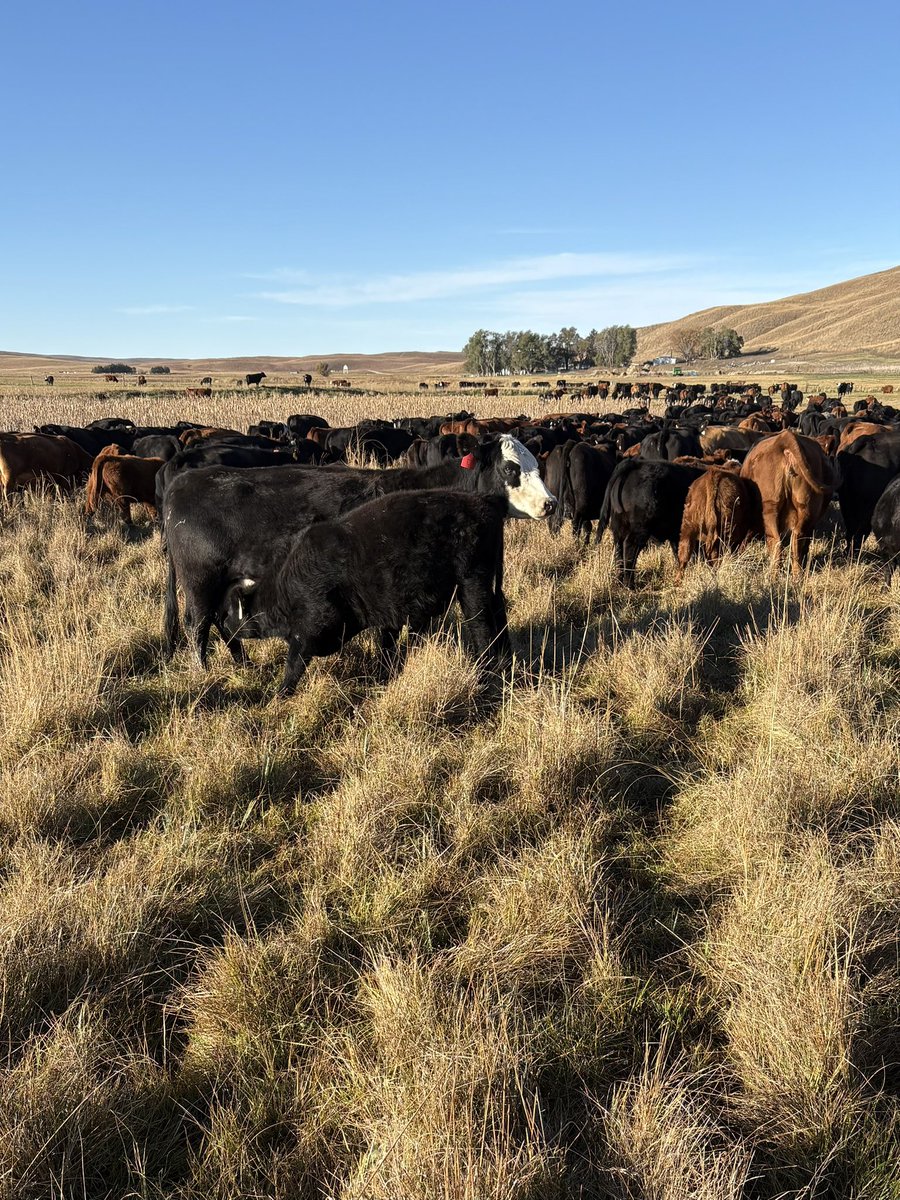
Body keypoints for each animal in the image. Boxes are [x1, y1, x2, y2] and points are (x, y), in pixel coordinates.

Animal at [162, 434, 555, 665]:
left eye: (537, 465)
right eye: (511, 468)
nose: (551, 503)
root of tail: (182, 481)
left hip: (224, 582)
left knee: (220, 621)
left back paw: (242, 663)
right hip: (200, 581)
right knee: (197, 624)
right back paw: (205, 671)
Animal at [221, 490, 512, 695]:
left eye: (231, 610)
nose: (224, 624)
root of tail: (481, 501)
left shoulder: (308, 632)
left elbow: (293, 665)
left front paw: (279, 695)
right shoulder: (389, 617)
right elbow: (387, 648)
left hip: (472, 585)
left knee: (482, 628)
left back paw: (486, 674)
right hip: (490, 586)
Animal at [740, 431, 836, 575]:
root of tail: (786, 438)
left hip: (770, 508)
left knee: (776, 541)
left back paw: (774, 576)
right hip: (805, 508)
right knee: (797, 539)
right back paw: (797, 575)